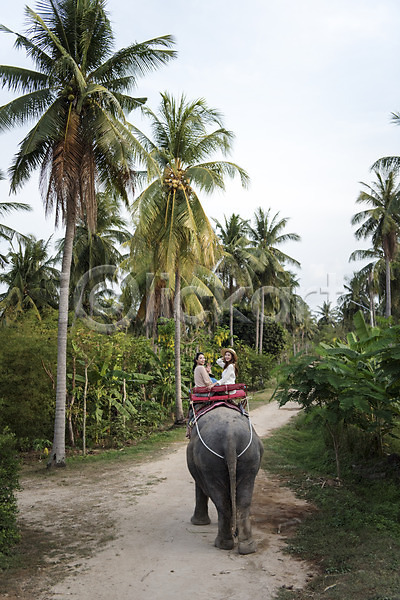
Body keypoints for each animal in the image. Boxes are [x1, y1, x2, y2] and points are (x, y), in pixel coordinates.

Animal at [187, 406, 264, 556]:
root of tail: (230, 439)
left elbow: (200, 486)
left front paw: (197, 523)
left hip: (209, 461)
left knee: (221, 502)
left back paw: (222, 544)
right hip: (250, 457)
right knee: (243, 501)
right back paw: (247, 547)